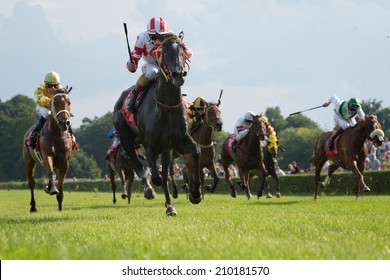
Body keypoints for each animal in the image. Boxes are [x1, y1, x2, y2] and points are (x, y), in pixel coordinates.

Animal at [113, 34, 201, 215]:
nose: (178, 74)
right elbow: (156, 176)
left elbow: (195, 151)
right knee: (137, 164)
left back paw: (170, 206)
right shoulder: (150, 146)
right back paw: (148, 190)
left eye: (182, 49)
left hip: (165, 149)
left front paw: (195, 194)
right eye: (165, 51)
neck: (166, 107)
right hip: (126, 138)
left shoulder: (177, 141)